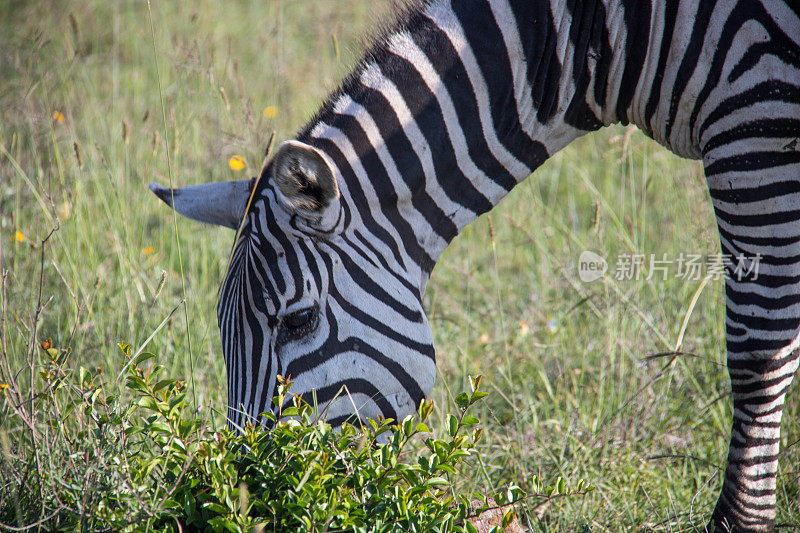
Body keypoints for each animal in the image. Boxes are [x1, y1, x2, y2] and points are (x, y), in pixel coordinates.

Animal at [150, 0, 800, 528]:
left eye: (298, 321)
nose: (241, 504)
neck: (606, 34)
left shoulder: (757, 121)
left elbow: (759, 352)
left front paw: (740, 522)